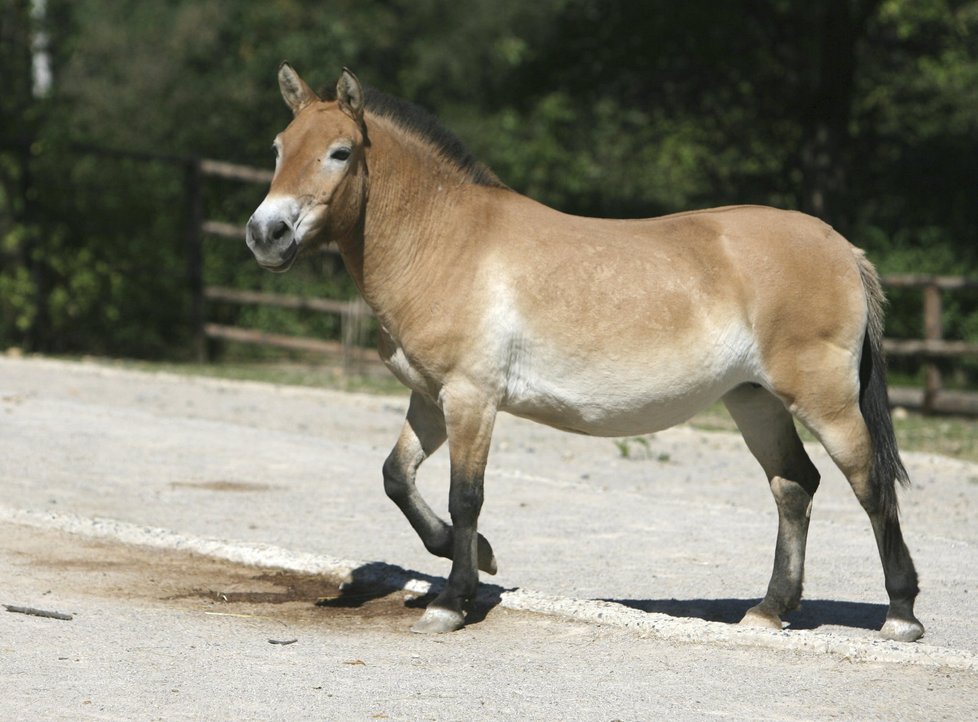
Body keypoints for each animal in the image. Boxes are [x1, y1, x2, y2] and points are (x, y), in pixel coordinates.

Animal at [244, 60, 924, 636]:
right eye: (277, 148)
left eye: (340, 152)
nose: (265, 234)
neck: (446, 241)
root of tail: (843, 248)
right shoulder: (431, 400)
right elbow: (397, 479)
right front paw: (480, 559)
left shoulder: (471, 399)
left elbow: (465, 498)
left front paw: (453, 601)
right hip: (753, 400)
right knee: (794, 486)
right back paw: (770, 609)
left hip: (824, 402)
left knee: (868, 483)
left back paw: (901, 614)